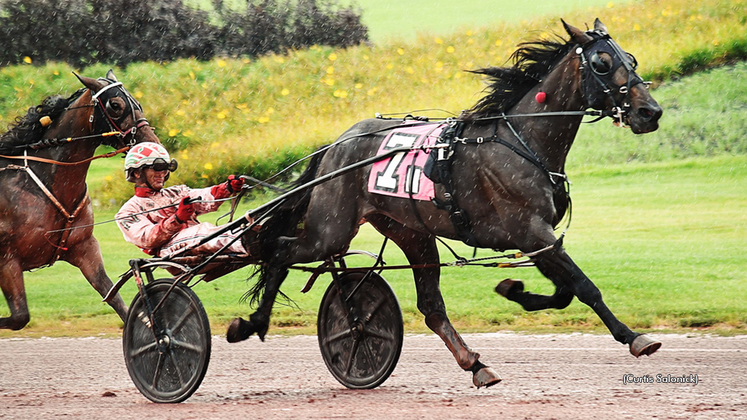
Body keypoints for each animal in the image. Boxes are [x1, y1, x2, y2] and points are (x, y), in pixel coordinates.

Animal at [0, 69, 161, 332]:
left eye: (137, 102)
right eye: (115, 105)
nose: (152, 145)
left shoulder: (85, 248)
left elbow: (119, 302)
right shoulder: (7, 259)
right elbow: (19, 317)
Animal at [231, 20, 664, 388]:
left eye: (632, 59)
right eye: (602, 62)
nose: (651, 112)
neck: (523, 141)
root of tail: (336, 144)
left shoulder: (537, 238)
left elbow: (564, 291)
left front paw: (513, 289)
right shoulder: (529, 230)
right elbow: (583, 286)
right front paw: (634, 337)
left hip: (412, 233)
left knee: (431, 306)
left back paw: (475, 364)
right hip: (331, 229)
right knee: (280, 250)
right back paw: (252, 323)